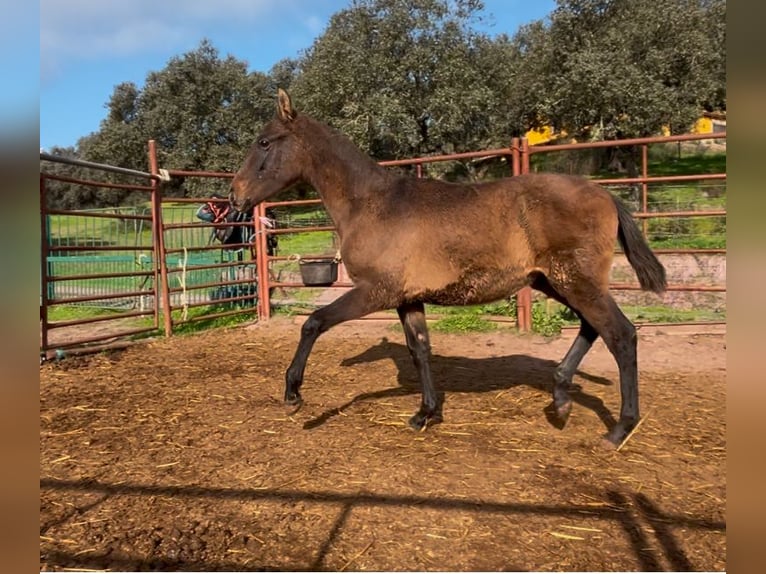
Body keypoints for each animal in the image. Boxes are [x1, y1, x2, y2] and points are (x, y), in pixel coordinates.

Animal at [231, 90, 668, 448]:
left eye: (264, 142)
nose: (235, 195)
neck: (372, 203)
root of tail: (605, 195)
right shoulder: (407, 299)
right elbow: (420, 349)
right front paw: (426, 413)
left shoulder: (375, 291)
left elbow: (314, 322)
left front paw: (293, 394)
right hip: (556, 282)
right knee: (593, 328)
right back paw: (560, 398)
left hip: (574, 281)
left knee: (621, 334)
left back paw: (618, 430)